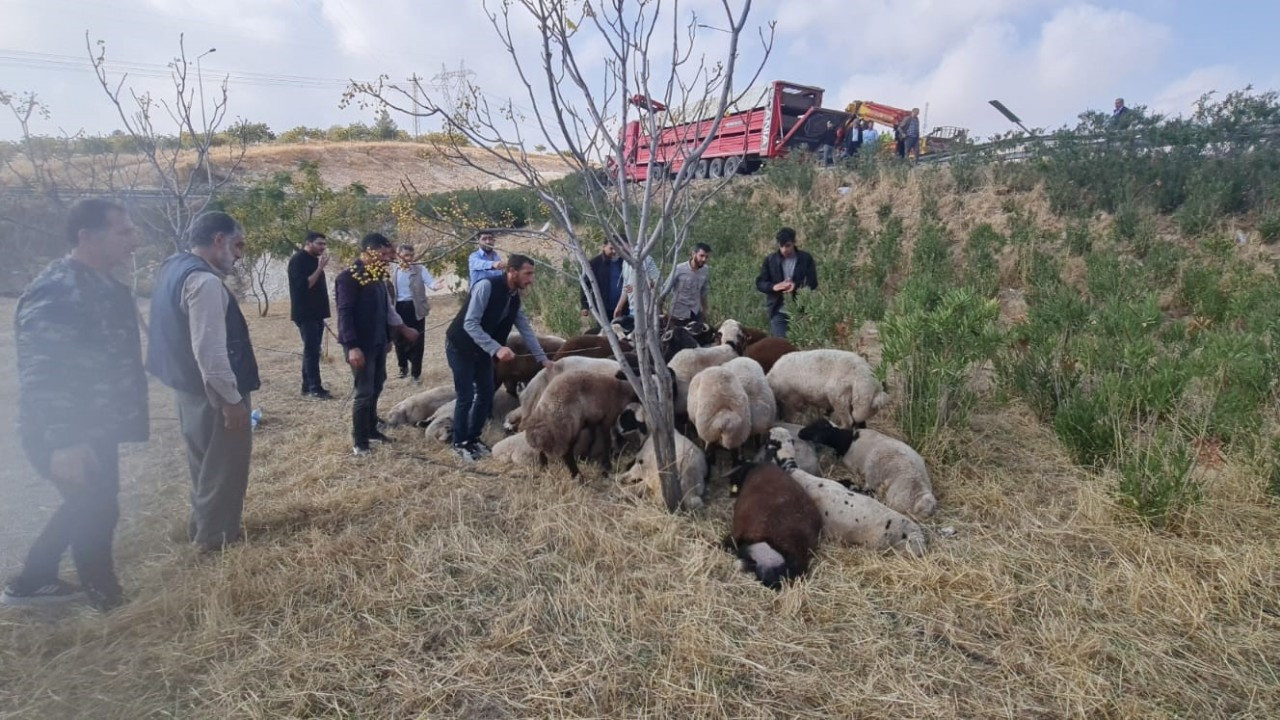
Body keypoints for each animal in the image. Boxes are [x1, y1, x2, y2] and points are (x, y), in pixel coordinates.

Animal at [798, 417, 942, 517]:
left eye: (818, 428)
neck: (848, 441)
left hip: (874, 475)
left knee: (869, 491)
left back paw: (847, 483)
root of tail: (922, 496)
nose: (800, 432)